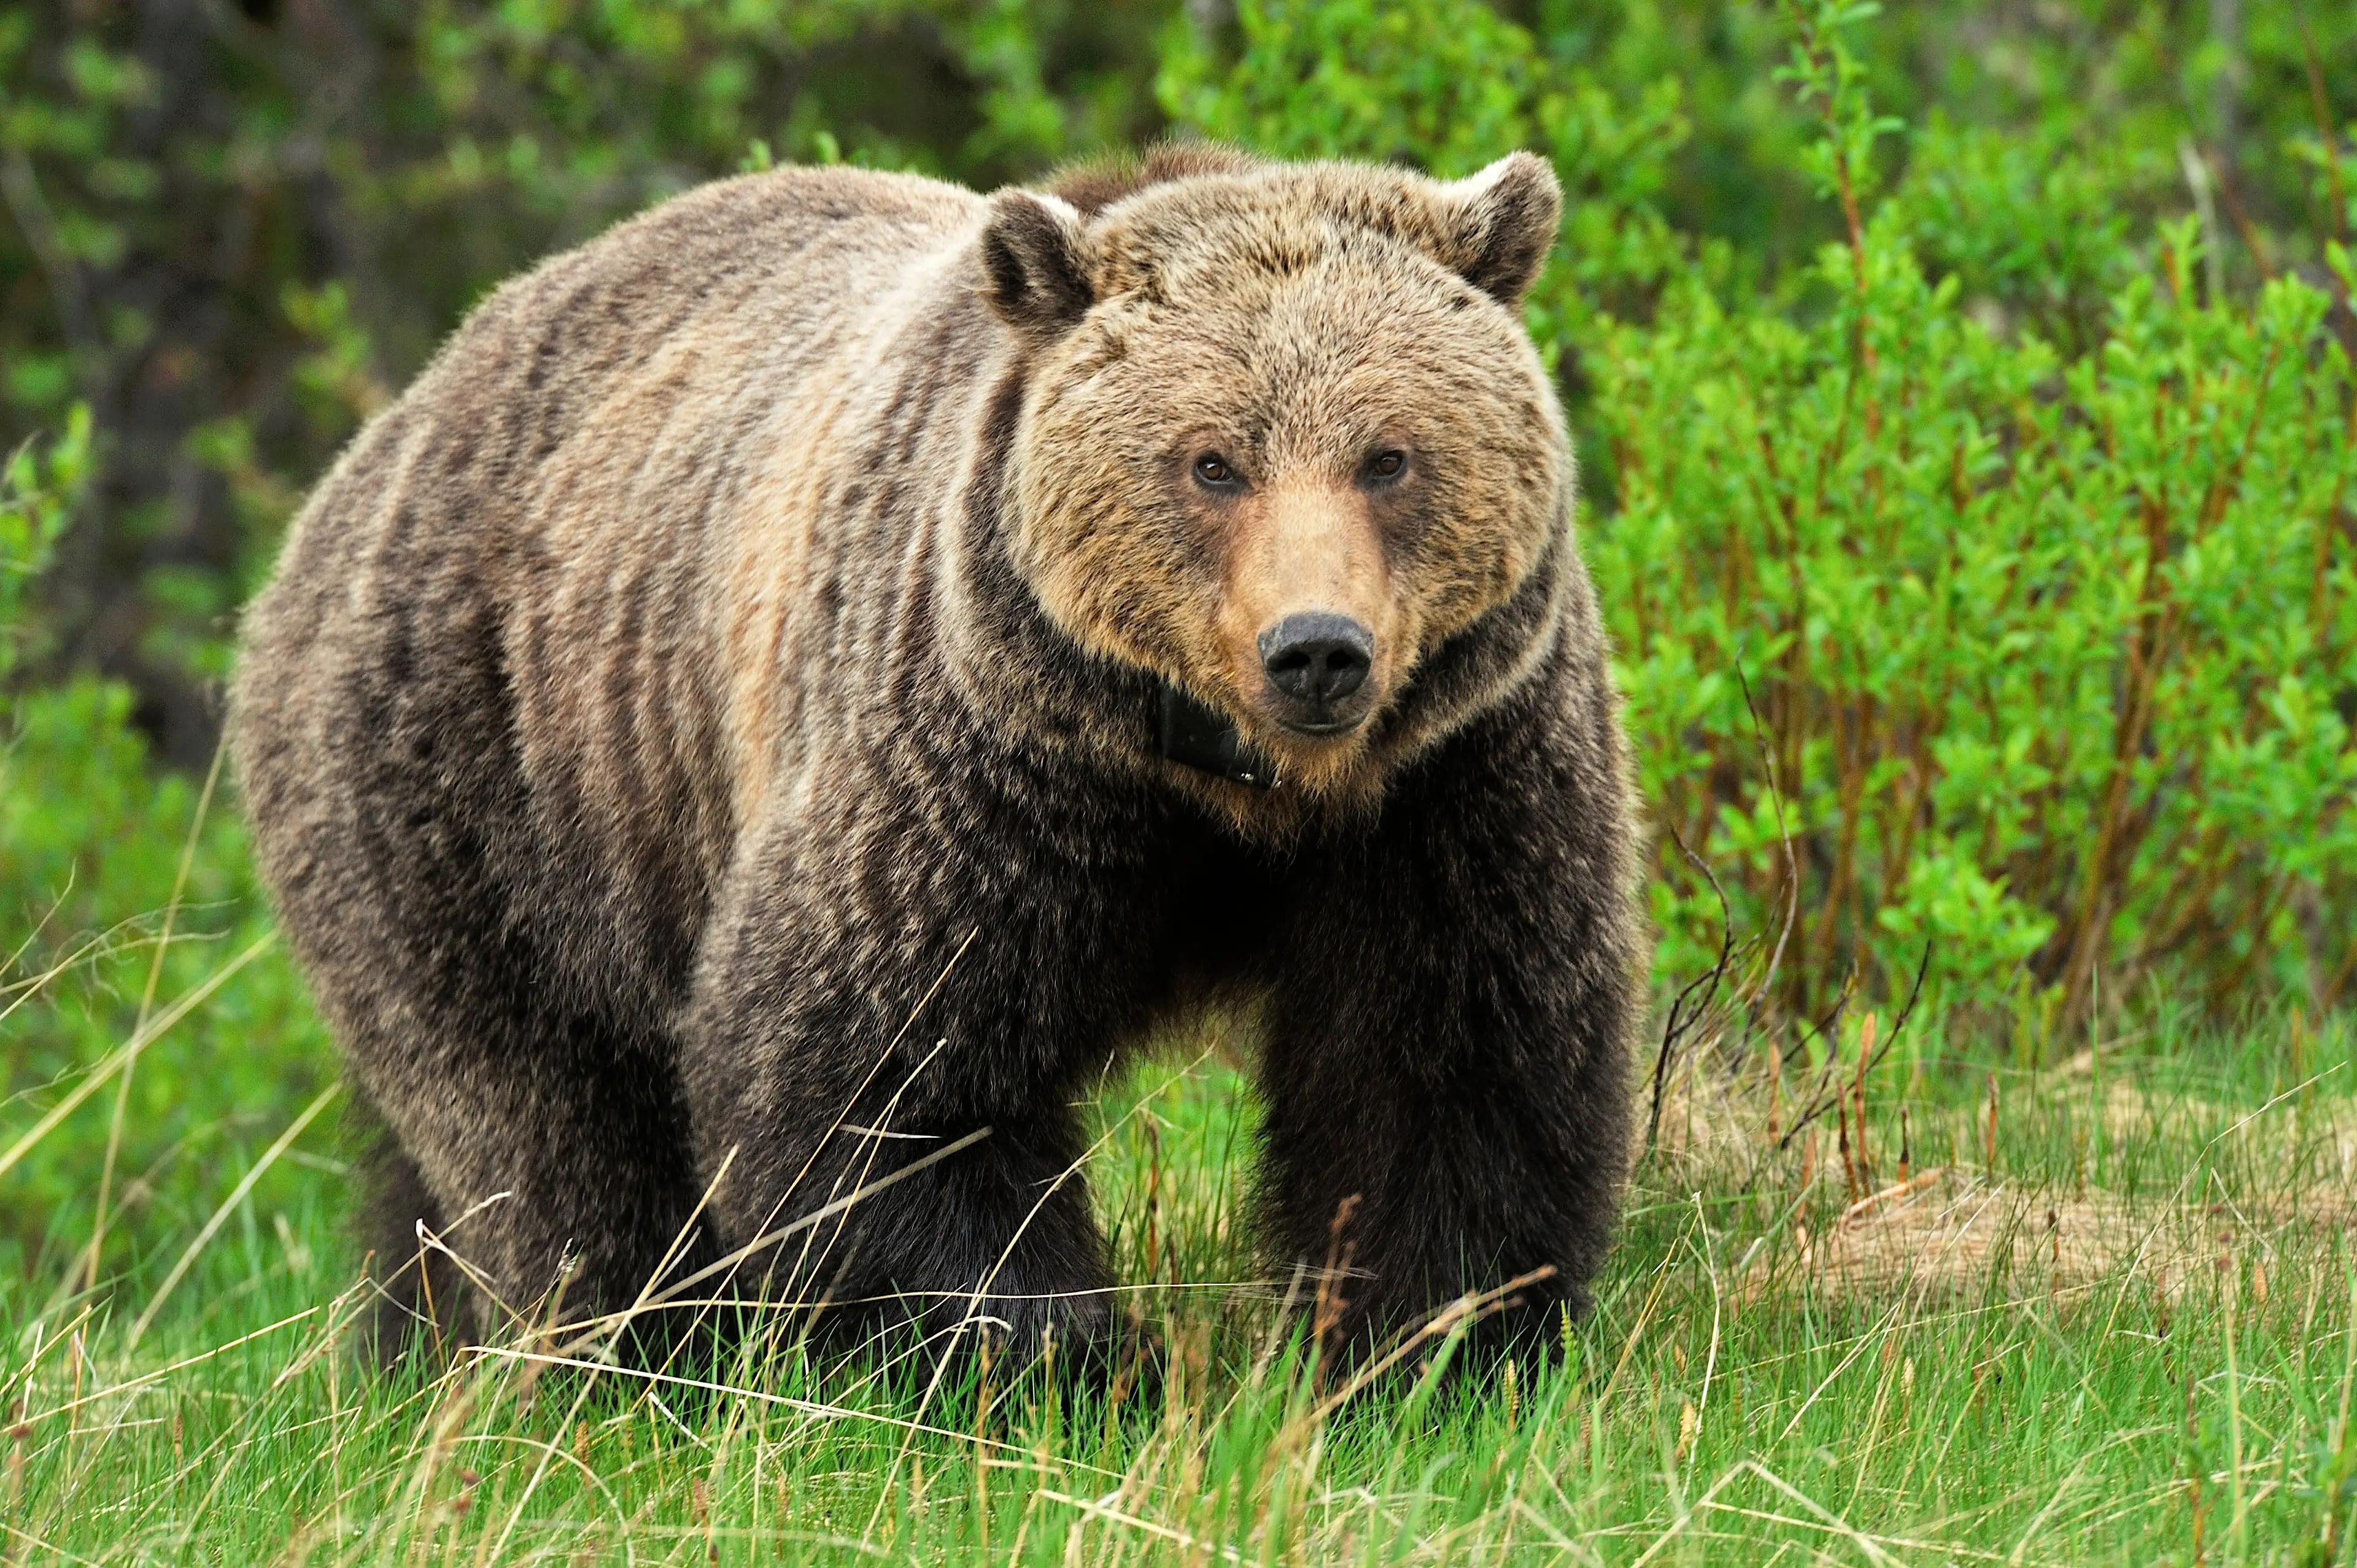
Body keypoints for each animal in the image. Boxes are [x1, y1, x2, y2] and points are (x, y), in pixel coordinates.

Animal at [229, 142, 1645, 1375]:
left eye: (1389, 455)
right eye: (1212, 461)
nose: (1317, 651)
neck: (1229, 791)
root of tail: (377, 444)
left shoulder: (1452, 773)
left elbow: (1451, 1063)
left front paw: (1428, 1350)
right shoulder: (980, 760)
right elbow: (884, 1070)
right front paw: (1047, 1359)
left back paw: (415, 1350)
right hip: (484, 780)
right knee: (551, 1127)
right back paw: (631, 1365)